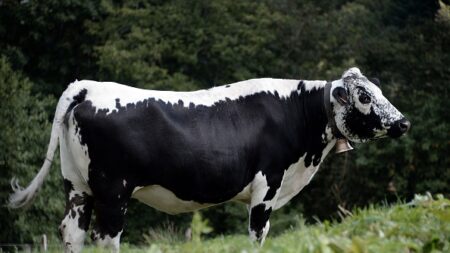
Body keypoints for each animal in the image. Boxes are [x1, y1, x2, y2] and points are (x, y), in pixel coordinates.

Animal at [9, 67, 412, 253]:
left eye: (378, 90)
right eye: (364, 96)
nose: (404, 122)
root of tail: (88, 86)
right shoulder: (267, 185)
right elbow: (258, 233)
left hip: (77, 186)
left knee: (72, 232)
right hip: (113, 191)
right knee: (106, 237)